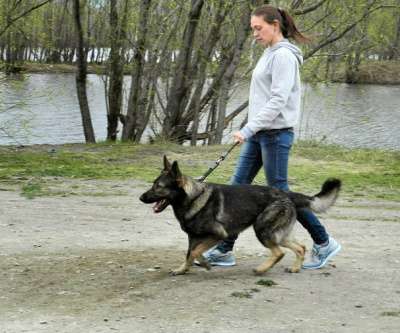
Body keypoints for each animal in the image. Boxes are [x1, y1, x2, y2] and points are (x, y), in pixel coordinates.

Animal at [139, 156, 340, 274]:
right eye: (154, 184)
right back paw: (295, 268)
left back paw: (262, 269)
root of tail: (286, 194)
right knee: (300, 248)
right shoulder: (193, 237)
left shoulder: (218, 235)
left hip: (262, 230)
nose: (141, 197)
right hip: (278, 234)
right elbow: (189, 254)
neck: (193, 196)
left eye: (159, 187)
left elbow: (196, 252)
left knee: (279, 252)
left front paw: (205, 264)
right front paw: (182, 269)